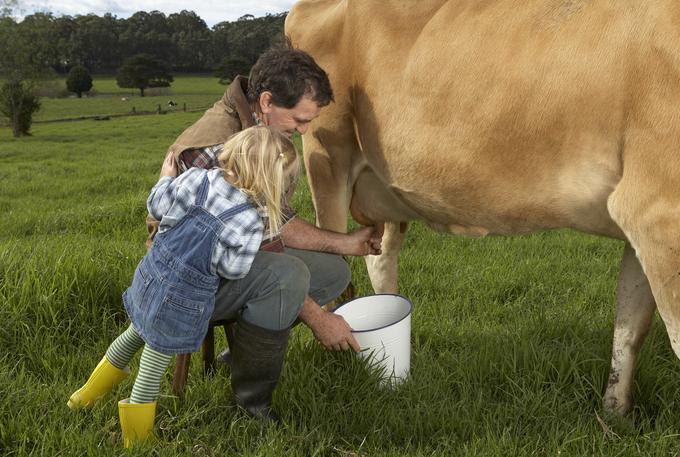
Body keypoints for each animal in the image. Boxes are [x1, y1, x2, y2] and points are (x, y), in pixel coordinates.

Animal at [284, 0, 680, 418]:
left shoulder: (643, 222)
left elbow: (630, 325)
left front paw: (615, 413)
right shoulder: (657, 209)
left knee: (379, 262)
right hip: (327, 157)